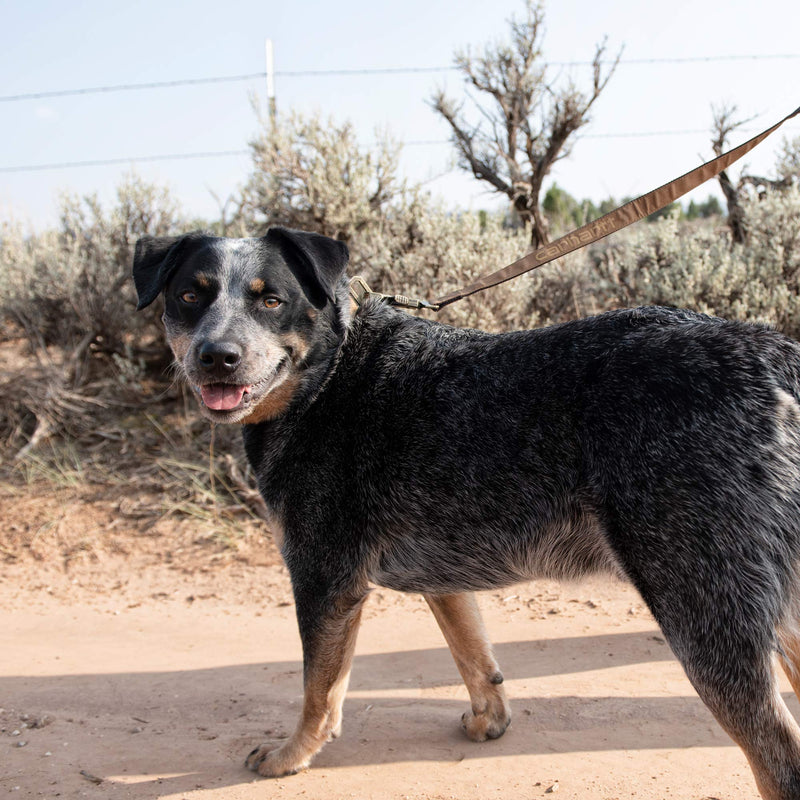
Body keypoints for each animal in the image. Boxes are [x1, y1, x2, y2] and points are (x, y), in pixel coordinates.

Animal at [134, 227, 800, 800]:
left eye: (271, 299)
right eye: (190, 295)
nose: (217, 356)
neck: (329, 372)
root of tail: (772, 351)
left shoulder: (325, 578)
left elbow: (318, 692)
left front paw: (288, 757)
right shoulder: (443, 573)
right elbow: (472, 653)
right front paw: (489, 721)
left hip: (702, 608)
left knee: (780, 763)